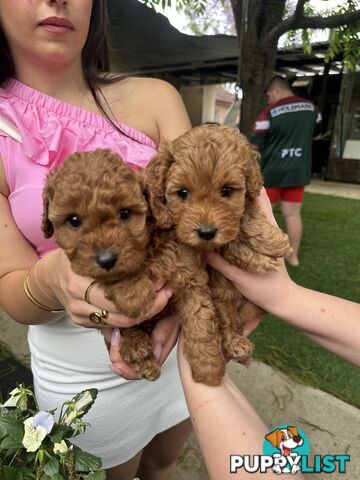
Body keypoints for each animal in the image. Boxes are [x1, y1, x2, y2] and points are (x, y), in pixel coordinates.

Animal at [145, 123, 292, 372]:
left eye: (226, 191)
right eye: (183, 193)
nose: (206, 232)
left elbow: (245, 216)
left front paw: (271, 242)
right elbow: (229, 242)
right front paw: (260, 256)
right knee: (227, 319)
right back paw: (237, 345)